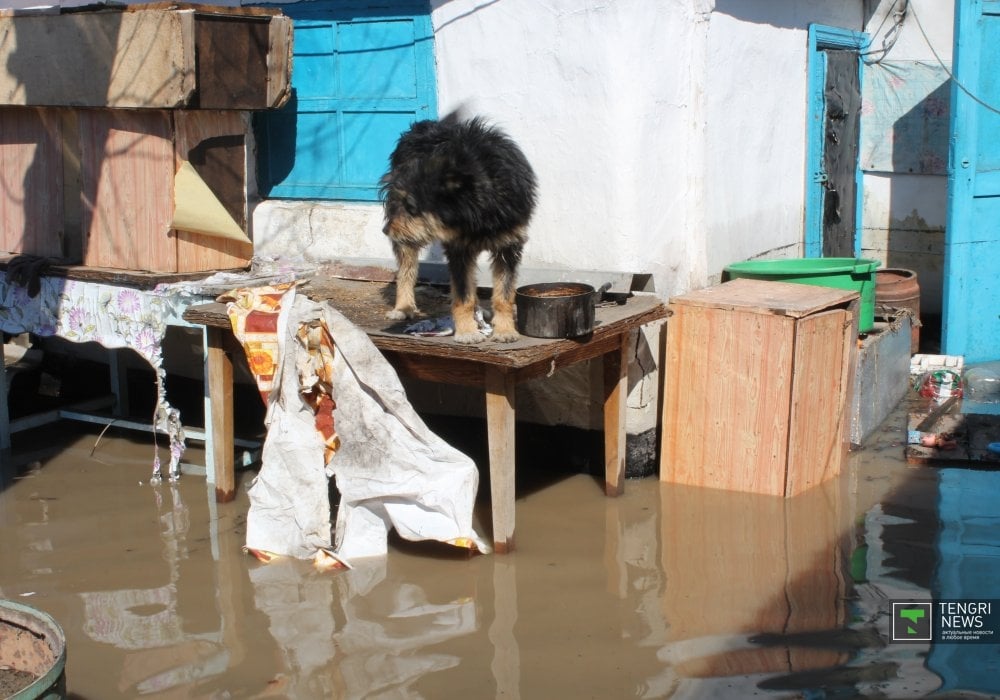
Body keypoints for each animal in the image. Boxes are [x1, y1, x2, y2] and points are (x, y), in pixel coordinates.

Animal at [378, 110, 536, 348]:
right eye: (404, 205)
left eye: (413, 208)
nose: (385, 231)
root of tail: (422, 126)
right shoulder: (459, 250)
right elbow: (463, 296)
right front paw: (467, 332)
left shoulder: (509, 246)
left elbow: (504, 295)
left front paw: (505, 330)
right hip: (408, 239)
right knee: (407, 267)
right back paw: (403, 307)